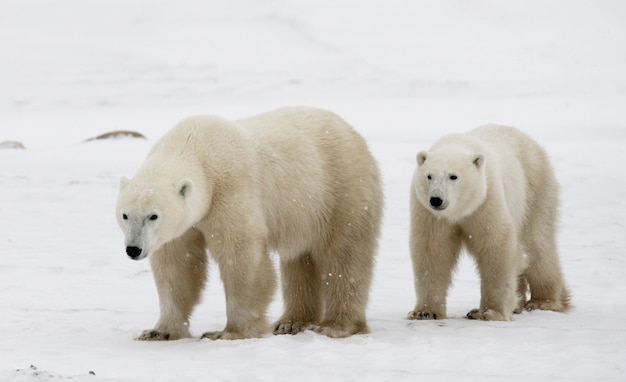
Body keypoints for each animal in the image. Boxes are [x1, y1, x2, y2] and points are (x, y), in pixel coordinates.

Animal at [114, 106, 382, 338]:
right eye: (125, 215)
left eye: (153, 215)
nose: (133, 249)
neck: (194, 147)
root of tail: (350, 130)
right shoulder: (182, 225)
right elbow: (177, 265)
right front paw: (159, 332)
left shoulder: (230, 189)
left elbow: (240, 256)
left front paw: (229, 332)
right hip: (303, 213)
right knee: (298, 258)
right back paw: (291, 322)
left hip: (341, 188)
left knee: (345, 256)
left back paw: (335, 325)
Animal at [408, 126, 568, 322]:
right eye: (429, 176)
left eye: (453, 176)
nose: (436, 200)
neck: (460, 210)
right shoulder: (430, 214)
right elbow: (433, 250)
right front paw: (424, 312)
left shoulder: (487, 201)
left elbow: (496, 246)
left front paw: (487, 312)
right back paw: (518, 303)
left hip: (536, 191)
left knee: (537, 245)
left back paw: (544, 301)